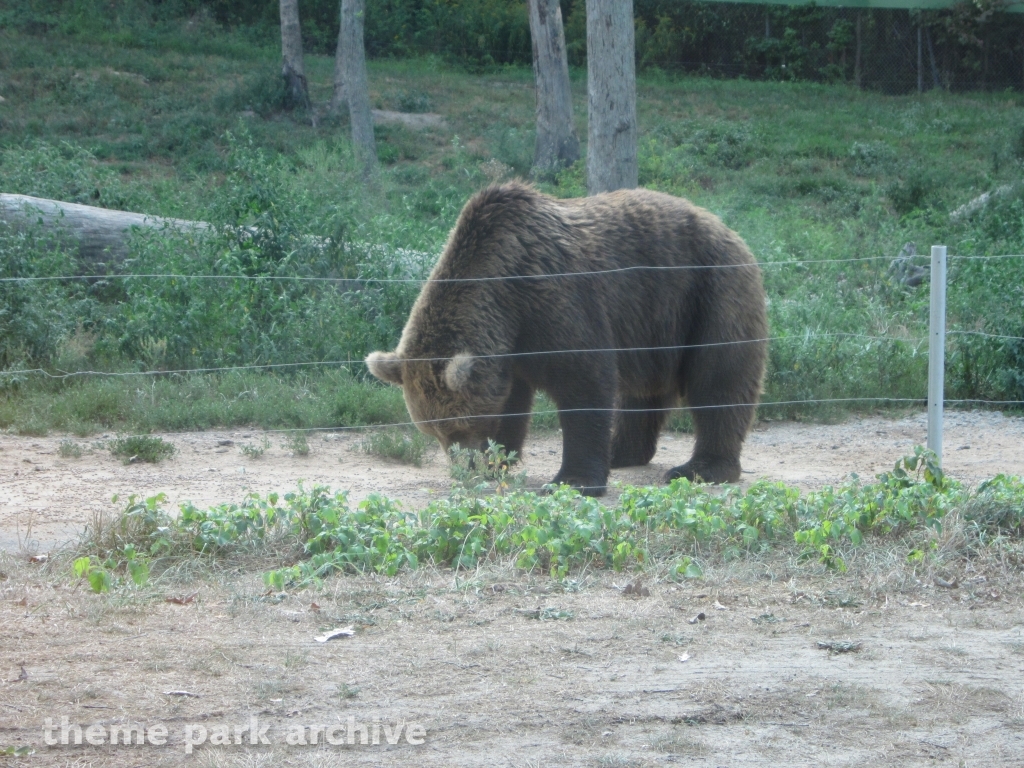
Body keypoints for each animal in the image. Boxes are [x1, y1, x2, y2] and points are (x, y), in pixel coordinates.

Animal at [364, 183, 765, 499]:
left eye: (456, 427)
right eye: (433, 432)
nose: (468, 465)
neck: (504, 297)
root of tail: (731, 231)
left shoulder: (555, 299)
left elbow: (583, 382)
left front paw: (572, 480)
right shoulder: (511, 350)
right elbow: (511, 403)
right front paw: (500, 460)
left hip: (709, 292)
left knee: (719, 379)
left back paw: (701, 468)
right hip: (652, 323)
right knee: (642, 392)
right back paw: (622, 451)